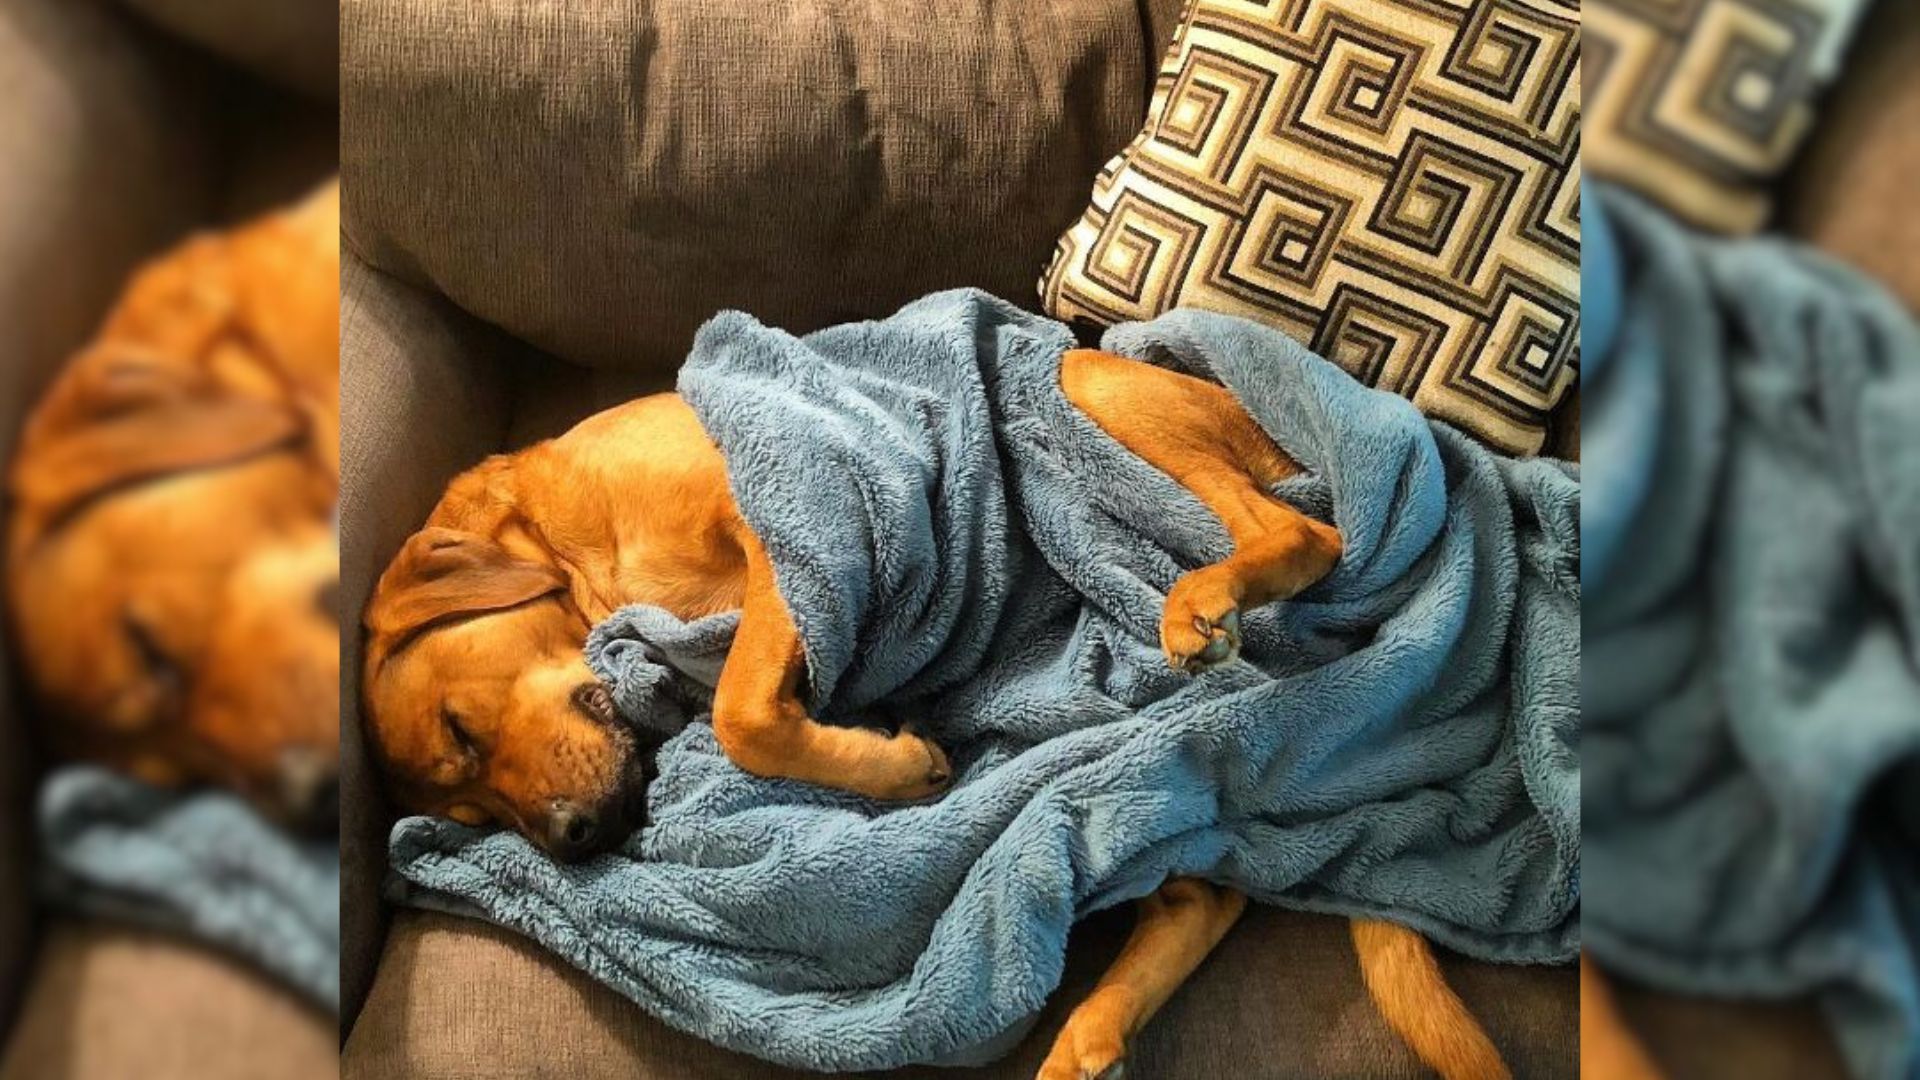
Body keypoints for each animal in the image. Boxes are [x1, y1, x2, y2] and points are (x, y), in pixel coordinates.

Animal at [366, 351, 1512, 1076]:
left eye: (463, 733)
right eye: (468, 810)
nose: (572, 840)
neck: (565, 547)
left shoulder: (782, 522)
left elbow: (743, 715)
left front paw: (898, 766)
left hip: (1088, 386)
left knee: (1307, 537)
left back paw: (1206, 600)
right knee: (1205, 888)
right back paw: (1090, 1035)